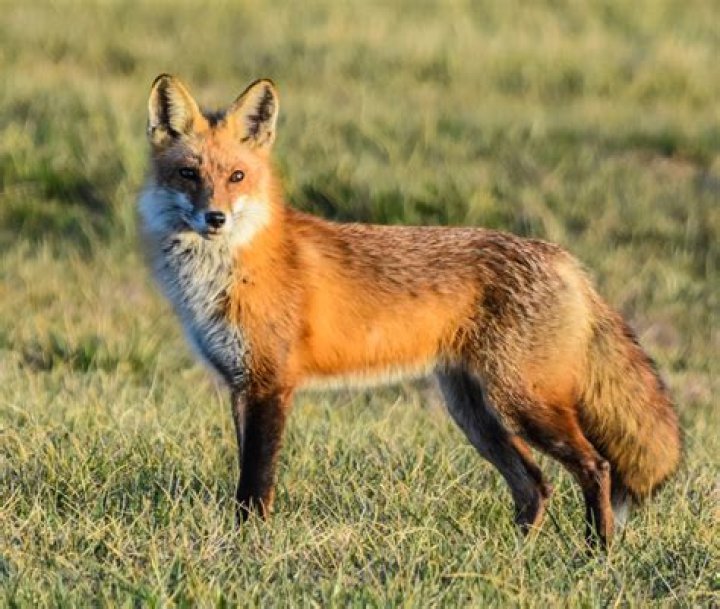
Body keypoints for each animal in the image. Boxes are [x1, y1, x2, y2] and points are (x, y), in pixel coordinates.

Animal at [138, 74, 681, 547]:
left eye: (237, 176)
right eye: (188, 175)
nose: (215, 218)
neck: (230, 271)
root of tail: (563, 258)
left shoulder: (272, 383)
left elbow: (255, 484)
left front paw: (249, 546)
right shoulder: (239, 384)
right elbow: (245, 474)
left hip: (523, 403)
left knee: (596, 466)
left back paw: (597, 552)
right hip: (476, 413)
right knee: (534, 484)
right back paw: (516, 557)